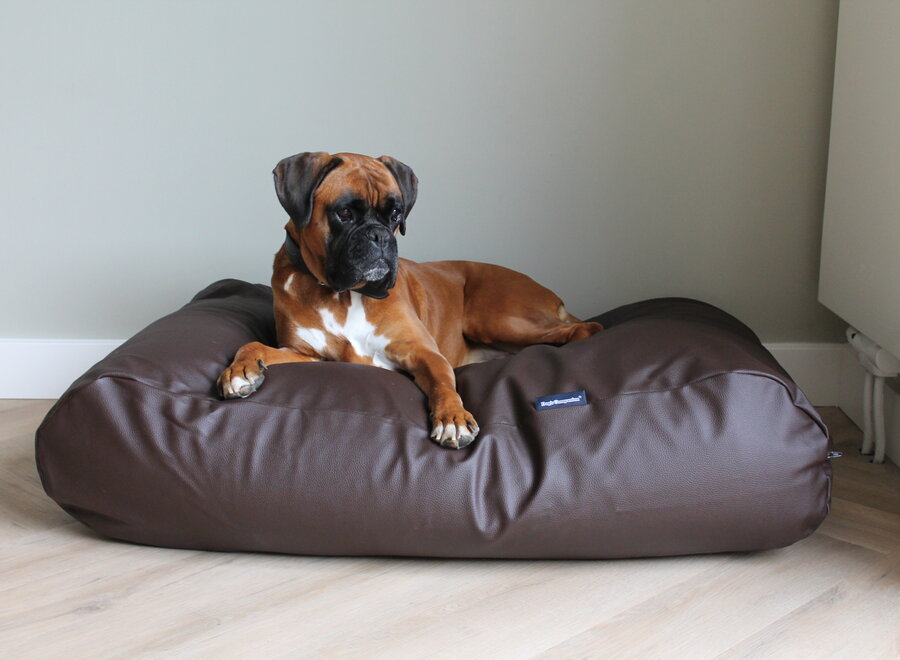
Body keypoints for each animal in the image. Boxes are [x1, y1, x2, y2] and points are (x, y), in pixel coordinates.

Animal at [216, 152, 604, 448]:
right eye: (345, 213)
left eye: (395, 215)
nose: (380, 236)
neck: (342, 294)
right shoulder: (307, 356)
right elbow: (253, 345)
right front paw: (240, 371)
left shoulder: (423, 354)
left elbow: (444, 385)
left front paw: (453, 418)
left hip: (497, 319)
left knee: (586, 328)